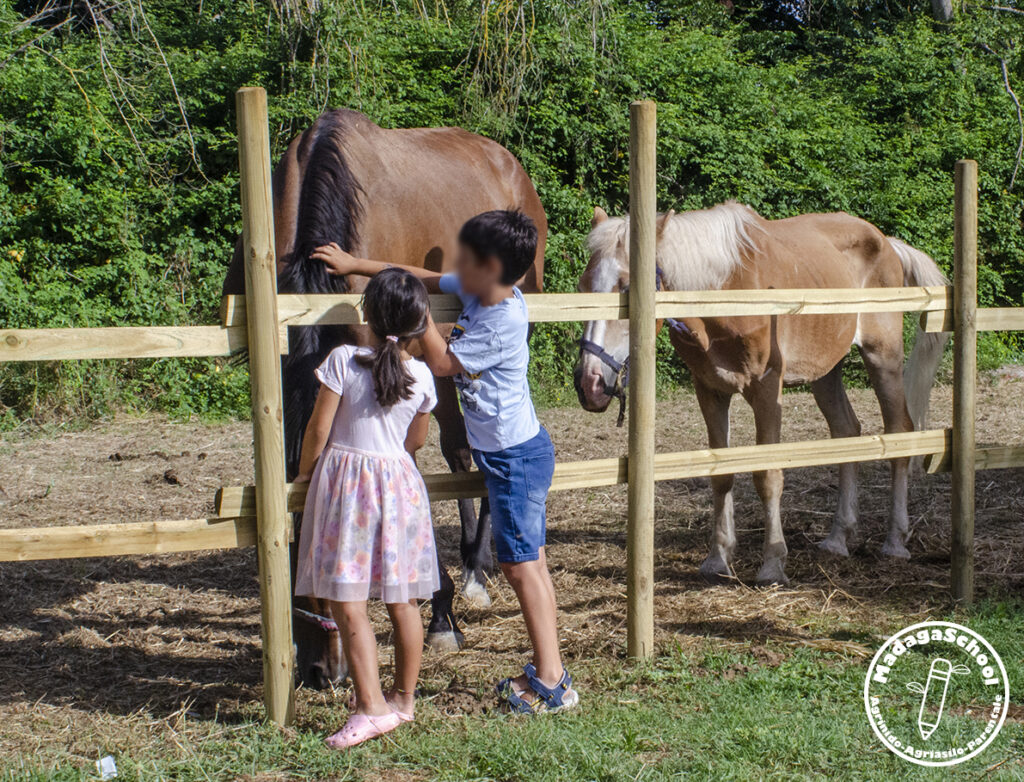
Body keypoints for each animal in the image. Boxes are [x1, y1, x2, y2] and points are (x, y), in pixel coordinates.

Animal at [221, 108, 548, 683]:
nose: (320, 671)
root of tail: (509, 163)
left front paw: (439, 615)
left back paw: (474, 575)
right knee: (460, 451)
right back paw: (475, 566)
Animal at [573, 201, 946, 585]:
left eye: (626, 286)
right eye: (583, 287)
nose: (589, 383)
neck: (727, 292)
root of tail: (886, 242)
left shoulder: (766, 388)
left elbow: (767, 475)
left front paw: (772, 563)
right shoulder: (710, 390)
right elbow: (720, 474)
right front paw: (717, 558)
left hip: (882, 357)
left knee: (899, 433)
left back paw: (895, 542)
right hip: (826, 371)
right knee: (846, 432)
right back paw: (837, 538)